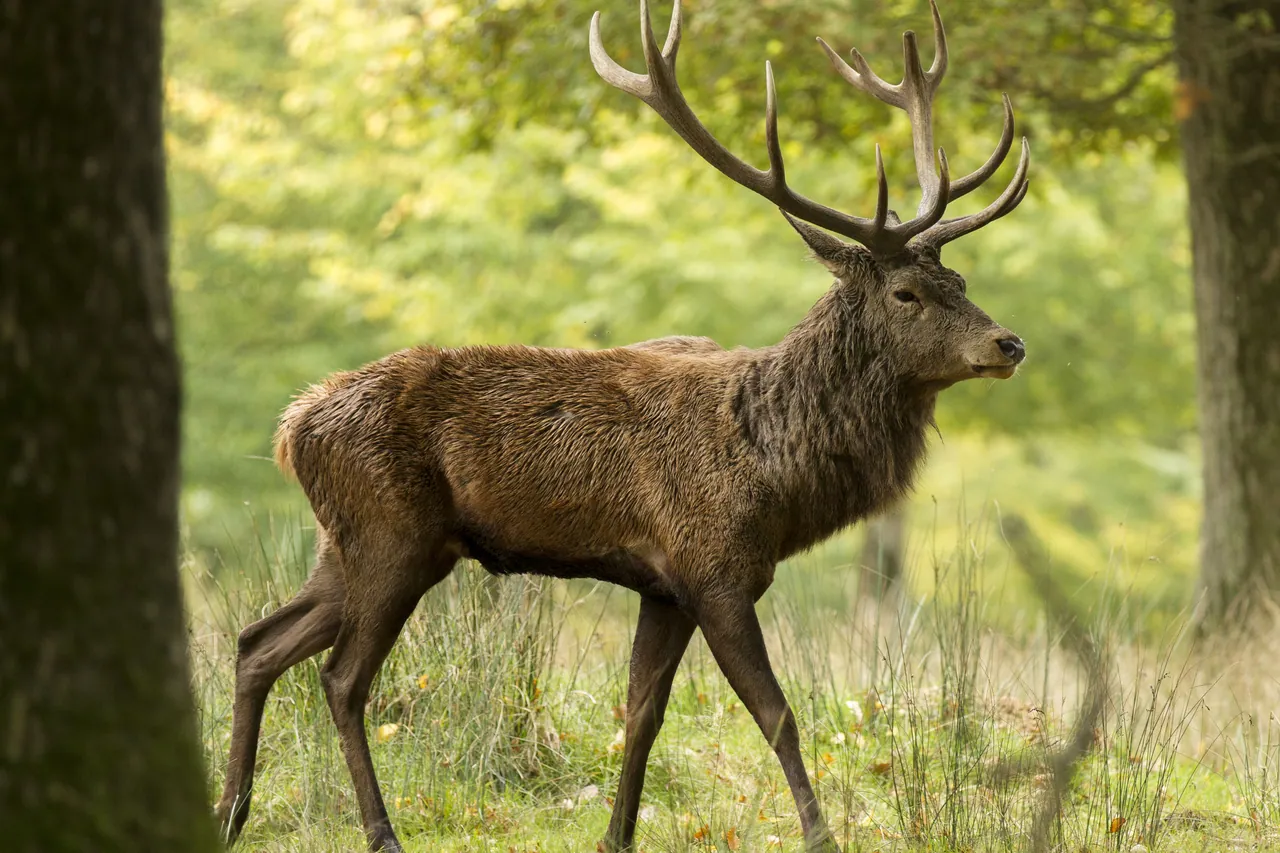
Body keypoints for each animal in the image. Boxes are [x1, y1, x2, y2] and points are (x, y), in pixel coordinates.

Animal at [213, 1, 1030, 850]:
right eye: (907, 293)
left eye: (959, 278)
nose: (1010, 343)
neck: (775, 474)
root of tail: (292, 427)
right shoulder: (714, 568)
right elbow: (777, 715)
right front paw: (820, 835)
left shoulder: (663, 586)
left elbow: (641, 714)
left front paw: (616, 834)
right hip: (391, 534)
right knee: (341, 677)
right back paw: (380, 830)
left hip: (348, 542)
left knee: (257, 642)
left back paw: (231, 811)